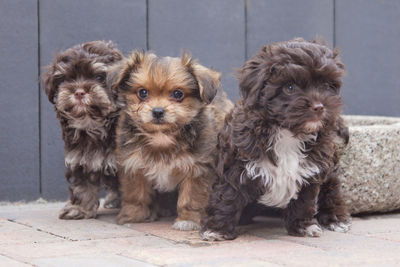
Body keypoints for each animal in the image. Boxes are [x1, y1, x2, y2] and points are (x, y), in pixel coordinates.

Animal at [42, 39, 123, 220]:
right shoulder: (80, 158)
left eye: (99, 77)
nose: (79, 92)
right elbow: (82, 185)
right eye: (67, 78)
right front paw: (78, 209)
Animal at [111, 51, 233, 231]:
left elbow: (192, 197)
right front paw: (134, 216)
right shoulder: (133, 165)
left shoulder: (198, 168)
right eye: (142, 93)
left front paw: (188, 220)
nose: (158, 111)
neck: (162, 138)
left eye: (178, 94)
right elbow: (136, 194)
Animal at [200, 37, 350, 241]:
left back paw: (337, 218)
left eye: (327, 86)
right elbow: (227, 195)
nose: (319, 107)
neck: (288, 132)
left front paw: (303, 226)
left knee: (332, 191)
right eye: (289, 87)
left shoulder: (311, 170)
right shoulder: (236, 164)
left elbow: (305, 200)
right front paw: (217, 229)